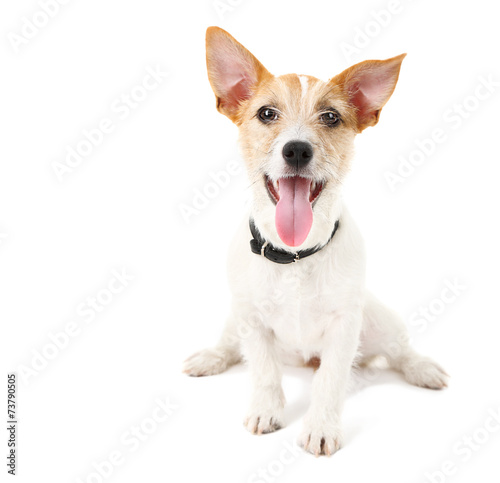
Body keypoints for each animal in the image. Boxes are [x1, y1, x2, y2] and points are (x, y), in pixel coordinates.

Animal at [185, 26, 450, 458]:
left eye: (330, 117)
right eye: (266, 113)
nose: (296, 149)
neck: (294, 256)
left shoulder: (344, 326)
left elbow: (330, 380)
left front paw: (321, 427)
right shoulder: (252, 319)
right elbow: (263, 369)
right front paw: (267, 409)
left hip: (378, 320)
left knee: (399, 350)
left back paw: (422, 368)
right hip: (235, 317)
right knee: (231, 344)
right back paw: (211, 357)